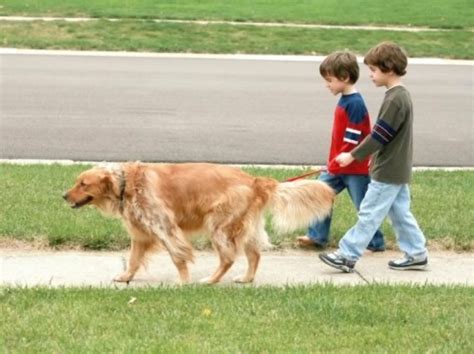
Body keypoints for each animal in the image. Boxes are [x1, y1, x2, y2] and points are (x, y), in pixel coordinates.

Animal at [63, 163, 334, 284]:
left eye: (83, 184)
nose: (63, 196)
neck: (127, 183)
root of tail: (254, 180)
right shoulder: (141, 234)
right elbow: (133, 259)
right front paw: (126, 276)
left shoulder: (166, 228)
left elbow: (178, 257)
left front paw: (183, 281)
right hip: (243, 228)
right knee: (254, 255)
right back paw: (246, 279)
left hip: (219, 226)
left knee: (228, 258)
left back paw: (211, 280)